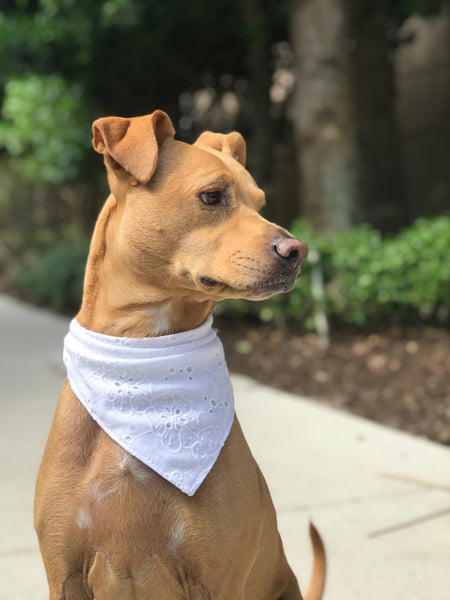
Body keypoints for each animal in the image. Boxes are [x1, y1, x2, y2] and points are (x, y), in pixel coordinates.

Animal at [33, 110, 326, 596]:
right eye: (211, 196)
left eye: (260, 203)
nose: (297, 250)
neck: (143, 362)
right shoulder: (64, 574)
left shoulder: (217, 578)